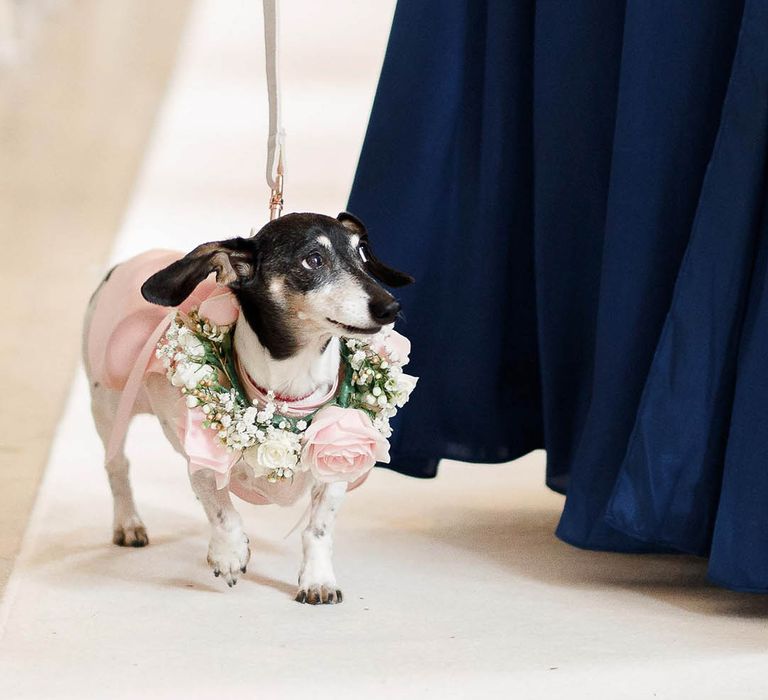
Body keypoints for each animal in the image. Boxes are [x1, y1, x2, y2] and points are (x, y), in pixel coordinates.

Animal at [84, 212, 414, 600]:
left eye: (361, 252)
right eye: (313, 259)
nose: (391, 307)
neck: (288, 390)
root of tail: (128, 262)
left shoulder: (338, 460)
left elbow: (318, 528)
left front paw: (318, 579)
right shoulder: (203, 460)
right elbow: (222, 512)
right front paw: (230, 554)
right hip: (106, 407)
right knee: (117, 466)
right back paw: (128, 523)